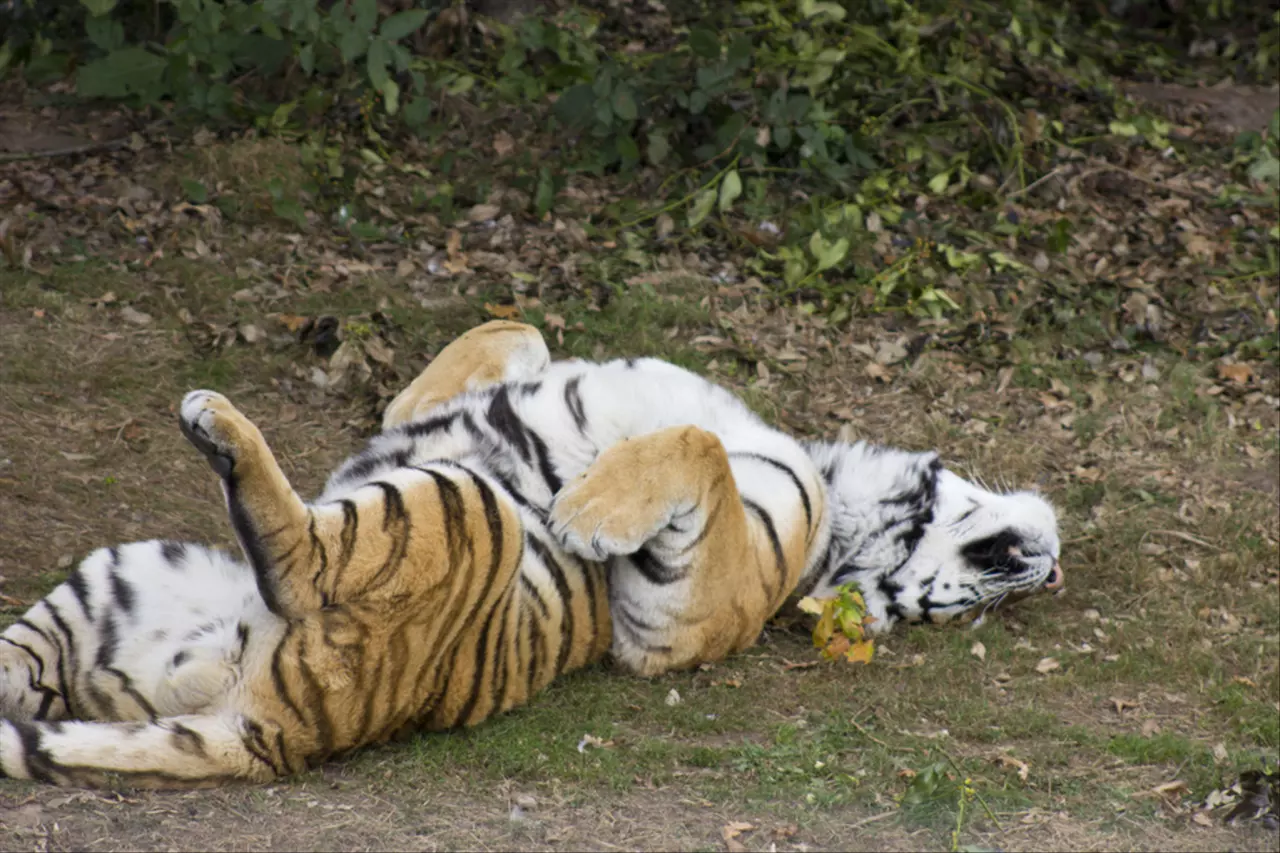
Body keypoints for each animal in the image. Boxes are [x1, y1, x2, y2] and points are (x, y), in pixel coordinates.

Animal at [0, 318, 1059, 783]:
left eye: (940, 607)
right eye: (976, 593)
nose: (1043, 570)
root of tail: (275, 730)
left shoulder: (678, 617)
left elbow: (697, 446)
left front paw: (586, 507)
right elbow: (517, 333)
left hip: (465, 509)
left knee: (306, 555)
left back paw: (217, 424)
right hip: (122, 577)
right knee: (31, 672)